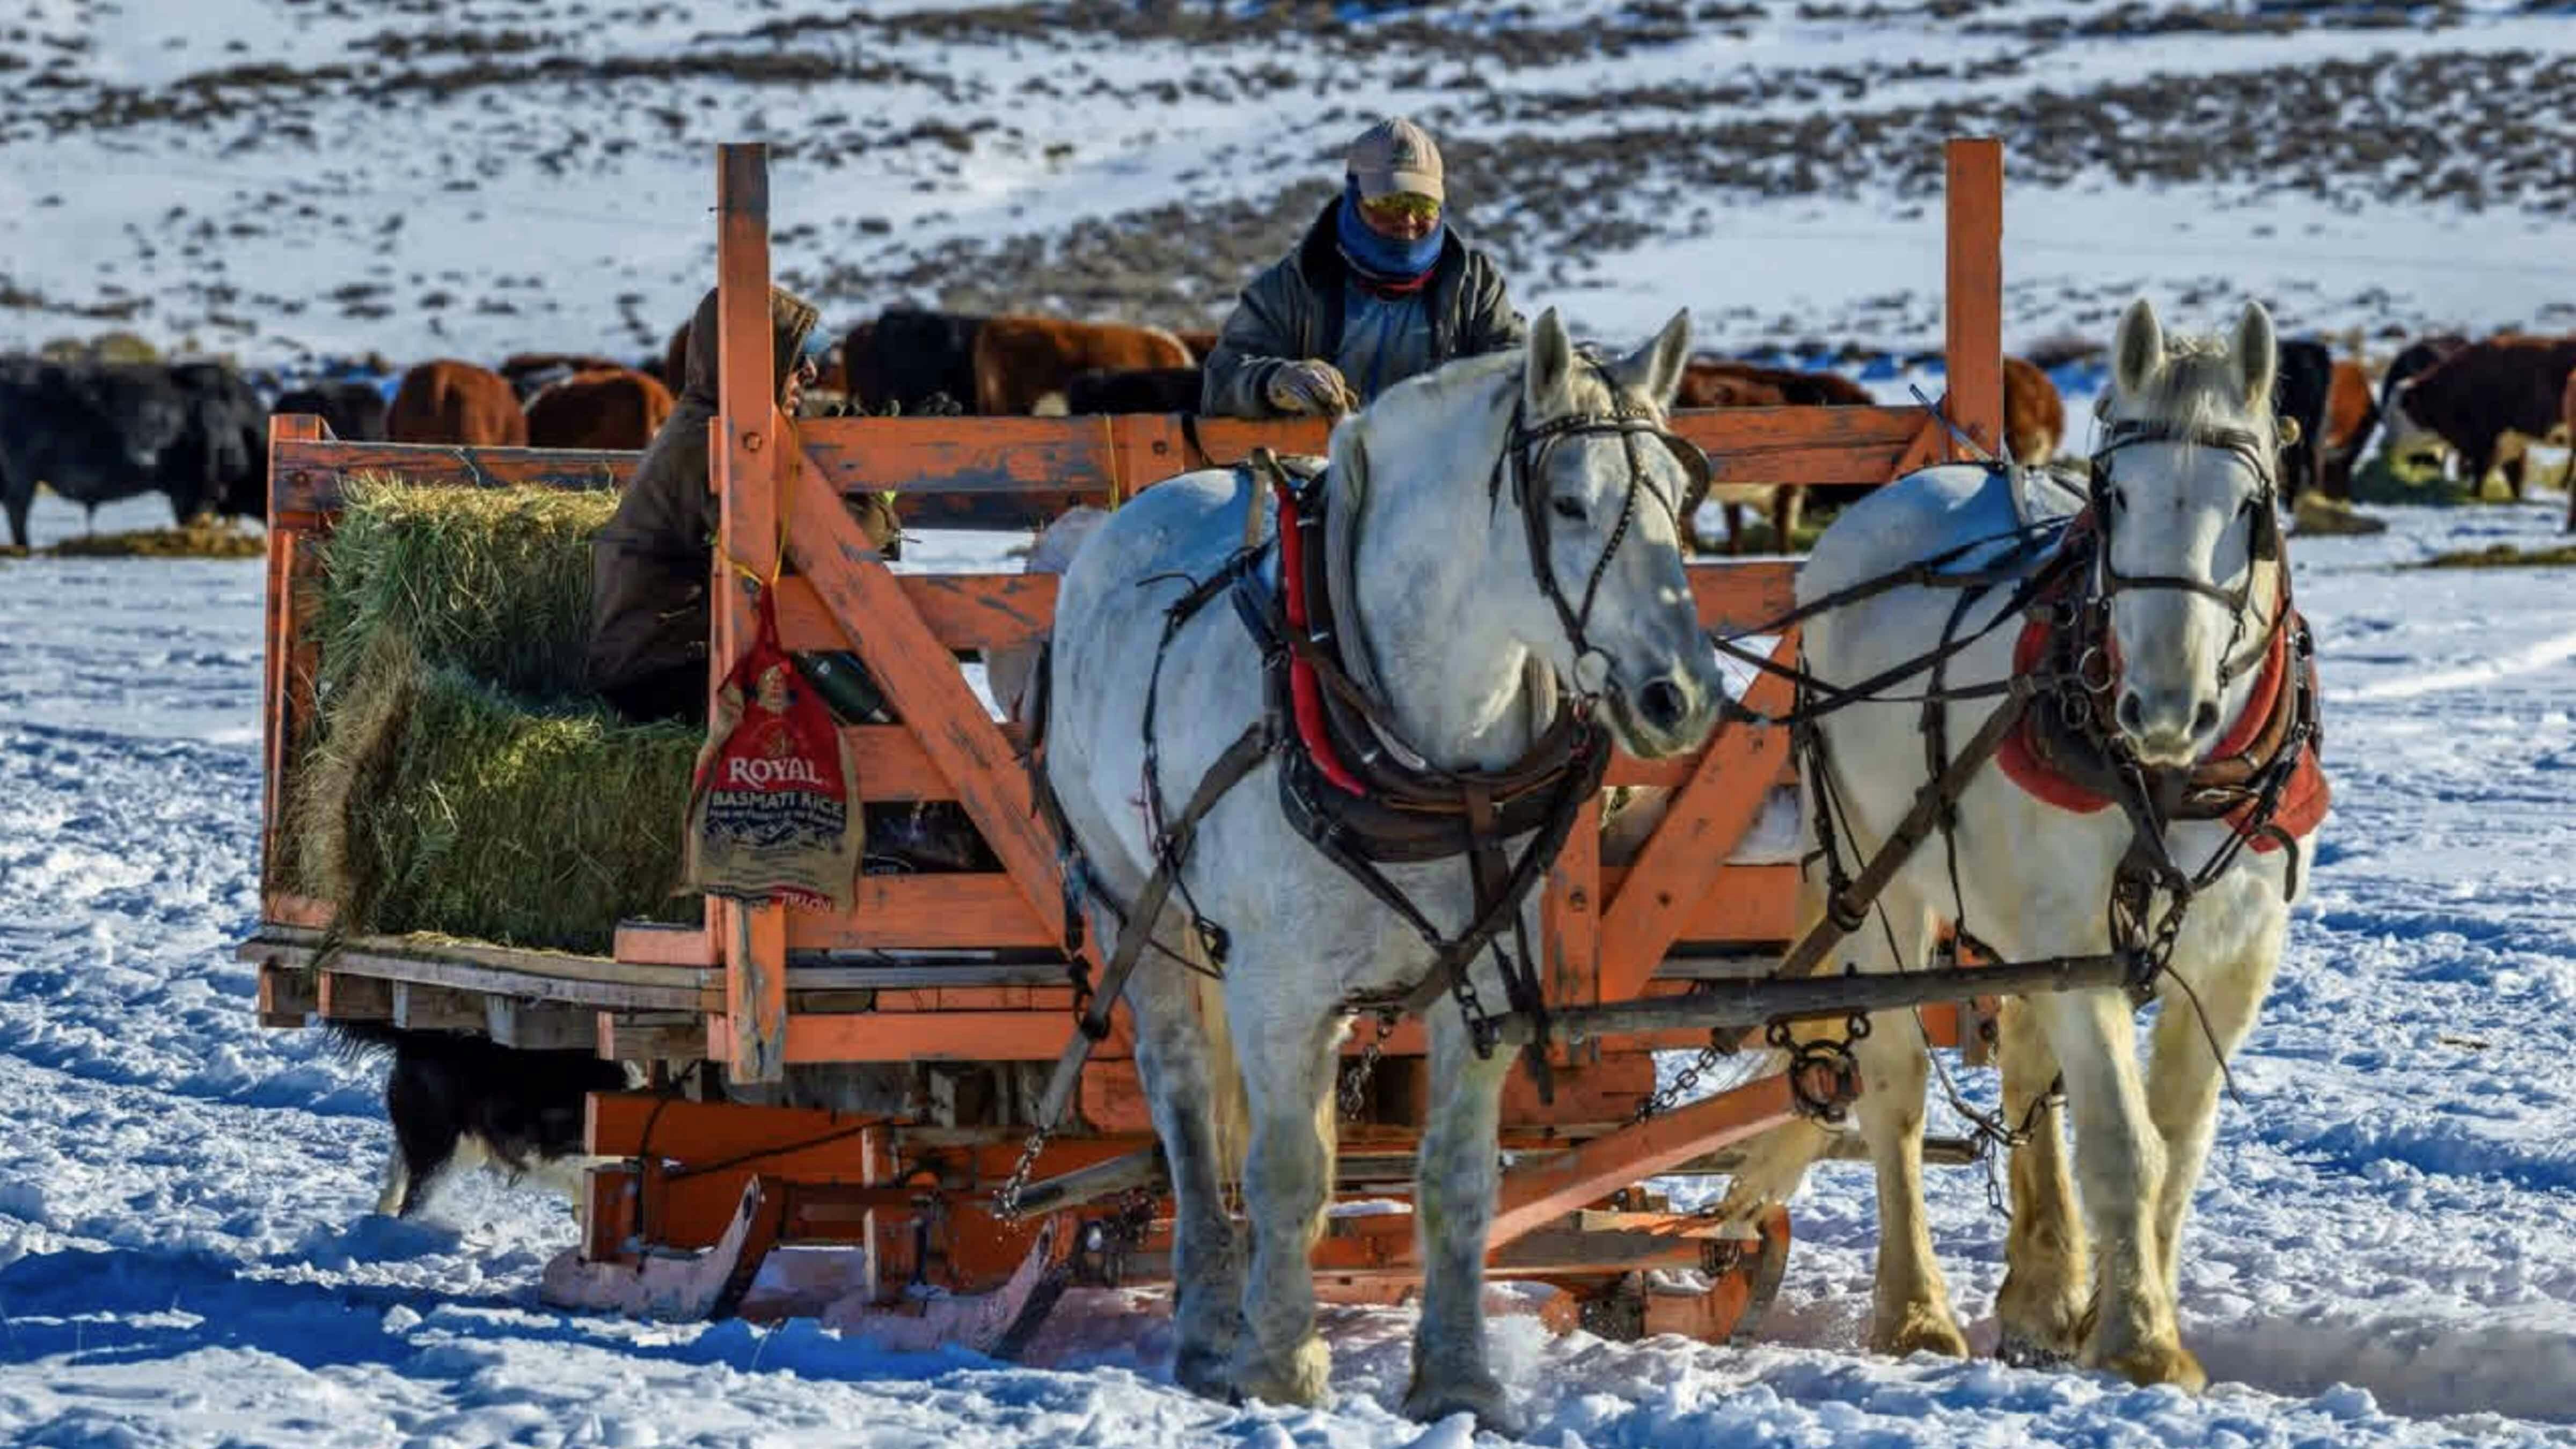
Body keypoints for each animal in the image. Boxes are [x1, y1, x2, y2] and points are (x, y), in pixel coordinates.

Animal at [1043, 308, 1726, 1430]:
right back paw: (1208, 1325)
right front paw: (1281, 1368)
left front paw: (1459, 1382)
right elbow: (1288, 1171)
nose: (1683, 696)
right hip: (1135, 906)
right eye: (1569, 502)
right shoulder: (1279, 989)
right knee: (1185, 1102)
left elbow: (1457, 1180)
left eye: (1678, 496)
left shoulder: (1484, 980)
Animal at [1717, 299, 2322, 1390]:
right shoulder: (2083, 941)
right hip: (1877, 880)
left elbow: (2179, 1145)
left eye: (2249, 508)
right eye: (2113, 495)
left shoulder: (2237, 959)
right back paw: (1916, 1312)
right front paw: (2141, 1341)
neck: (2170, 774)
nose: (2164, 707)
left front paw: (2119, 1314)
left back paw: (2041, 1291)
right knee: (1897, 1093)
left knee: (2024, 1067)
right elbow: (2127, 1142)